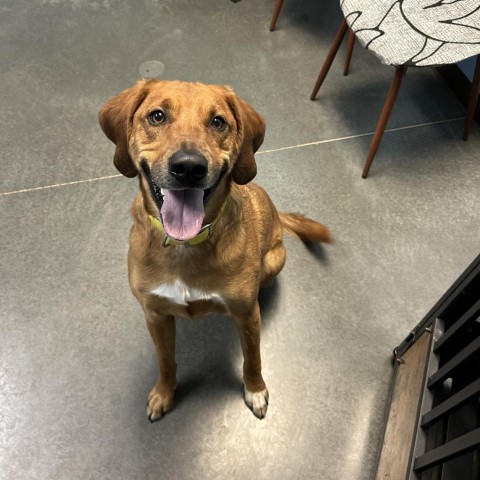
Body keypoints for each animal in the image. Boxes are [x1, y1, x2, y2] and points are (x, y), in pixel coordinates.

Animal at [97, 79, 330, 420]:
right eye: (157, 116)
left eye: (218, 122)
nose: (188, 167)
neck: (185, 246)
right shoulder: (155, 315)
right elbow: (165, 360)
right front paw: (163, 393)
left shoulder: (247, 317)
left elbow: (253, 358)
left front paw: (255, 390)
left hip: (275, 260)